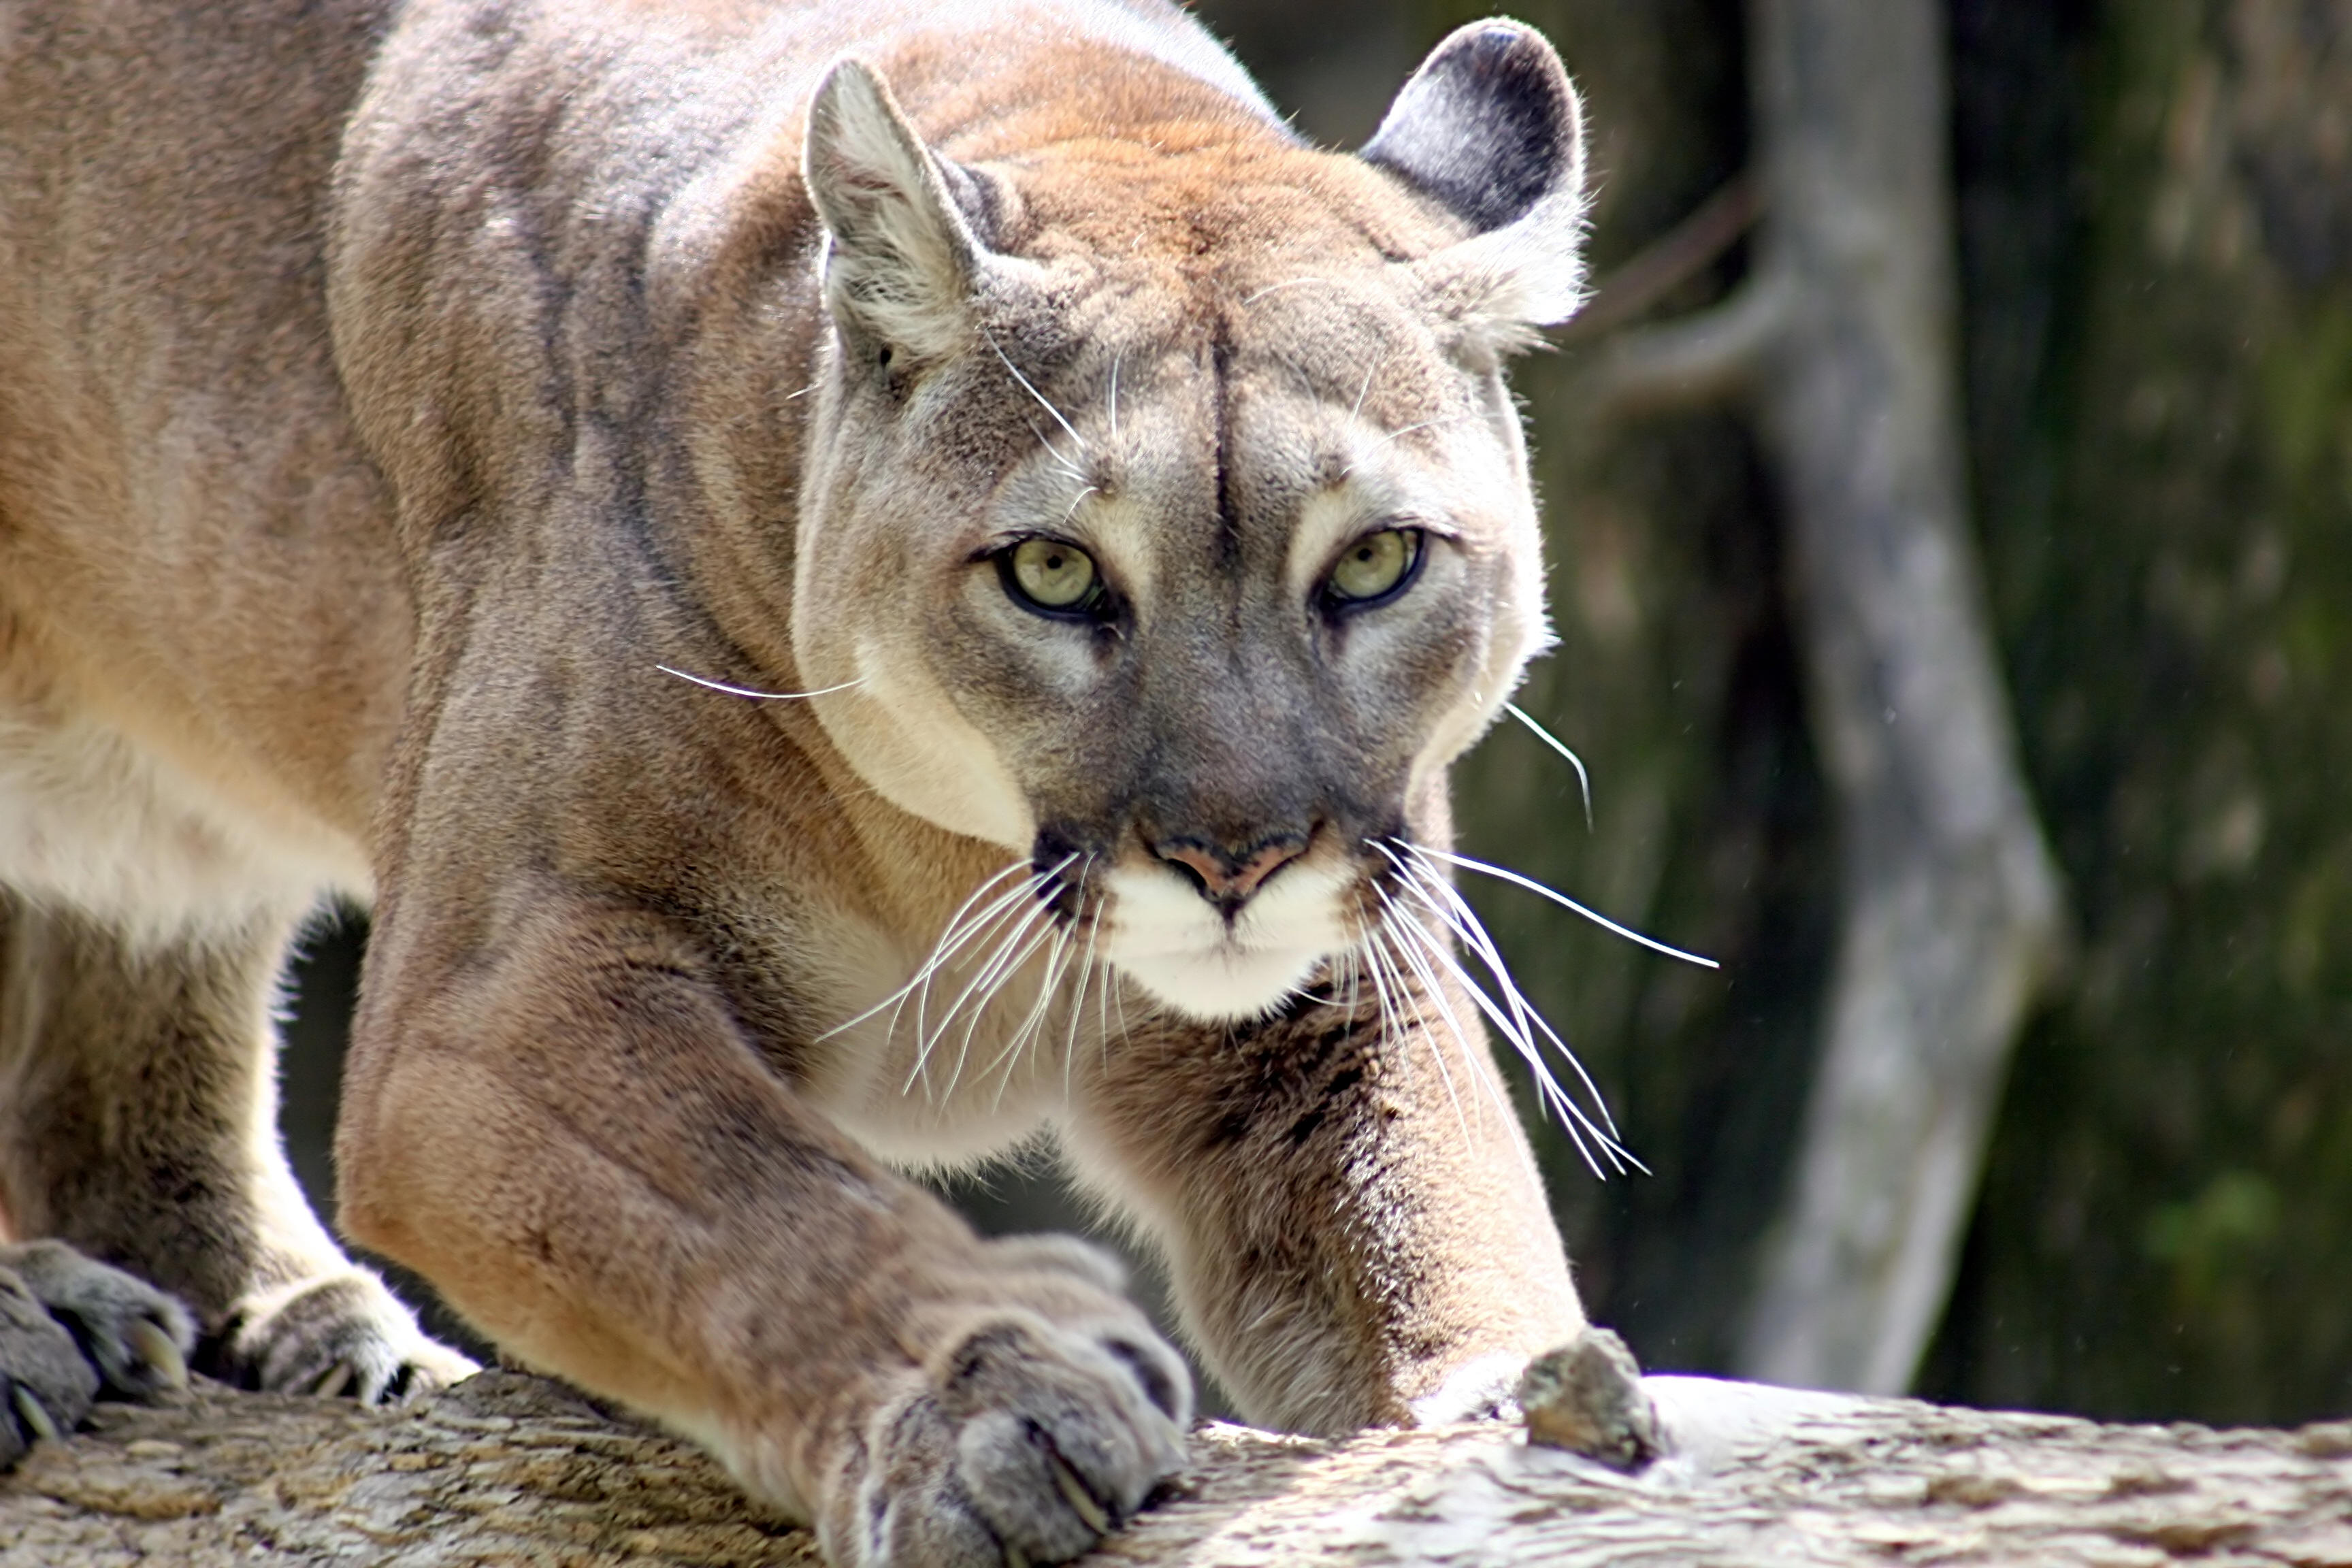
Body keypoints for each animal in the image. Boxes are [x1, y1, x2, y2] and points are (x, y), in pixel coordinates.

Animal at [0, 0, 1601, 1559]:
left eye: (1376, 560)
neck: (950, 849)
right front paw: (990, 1398)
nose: (1234, 860)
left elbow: (1437, 1218)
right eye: (1053, 572)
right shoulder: (494, 997)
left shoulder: (1337, 994)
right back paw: (50, 1327)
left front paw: (1526, 1411)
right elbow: (760, 1202)